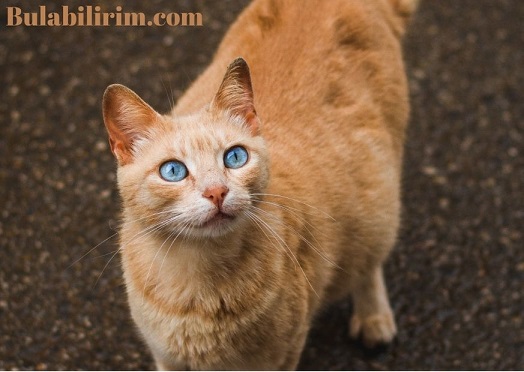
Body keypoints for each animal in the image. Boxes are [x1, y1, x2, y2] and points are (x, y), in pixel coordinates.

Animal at [101, 0, 418, 370]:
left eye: (235, 157)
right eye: (174, 171)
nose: (216, 192)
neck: (198, 282)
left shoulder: (283, 354)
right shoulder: (167, 358)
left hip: (377, 200)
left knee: (370, 260)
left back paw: (373, 317)